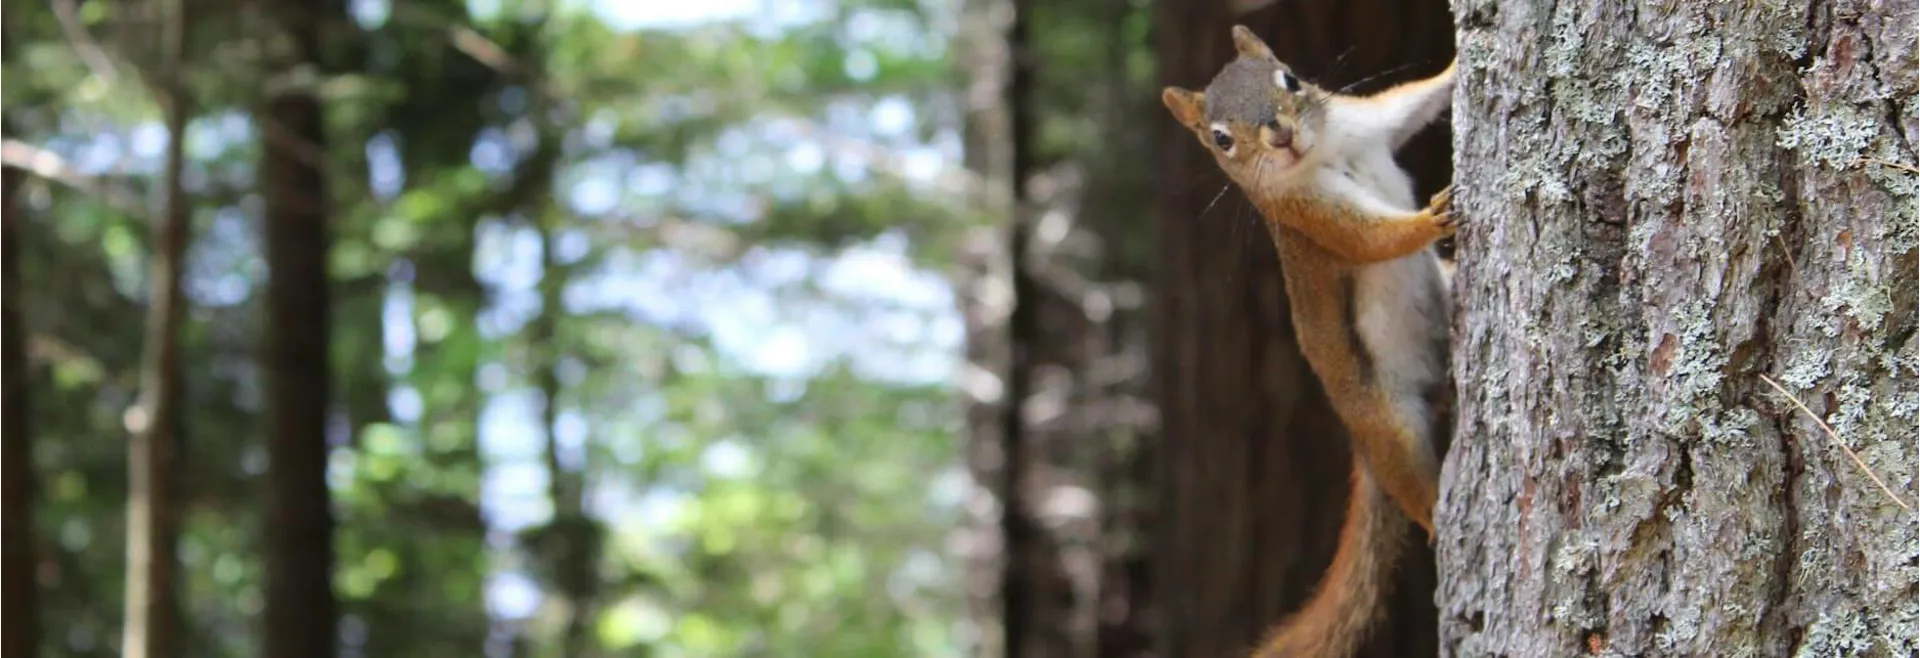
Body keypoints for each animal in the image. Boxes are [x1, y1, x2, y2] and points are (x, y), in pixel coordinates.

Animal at [1161, 25, 1457, 658]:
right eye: (1220, 139)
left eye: (1291, 79)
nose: (1279, 135)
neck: (1323, 152)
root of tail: (1360, 442)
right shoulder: (1309, 217)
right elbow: (1370, 239)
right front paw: (1429, 220)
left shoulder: (1367, 122)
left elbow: (1412, 103)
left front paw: (1457, 64)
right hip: (1388, 424)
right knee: (1411, 487)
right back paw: (1439, 519)